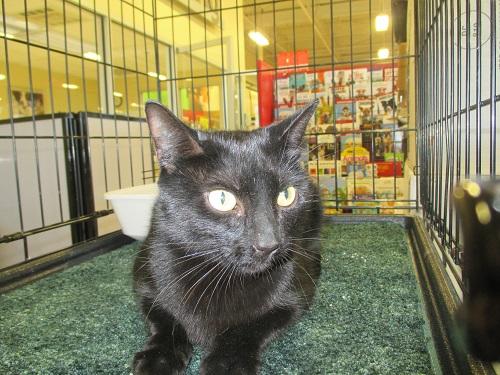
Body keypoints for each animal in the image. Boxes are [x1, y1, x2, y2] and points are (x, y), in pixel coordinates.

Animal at [132, 100, 320, 375]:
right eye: (222, 198)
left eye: (286, 195)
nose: (269, 244)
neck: (217, 272)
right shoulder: (146, 278)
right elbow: (162, 316)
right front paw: (159, 357)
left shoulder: (296, 293)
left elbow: (251, 325)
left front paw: (228, 362)